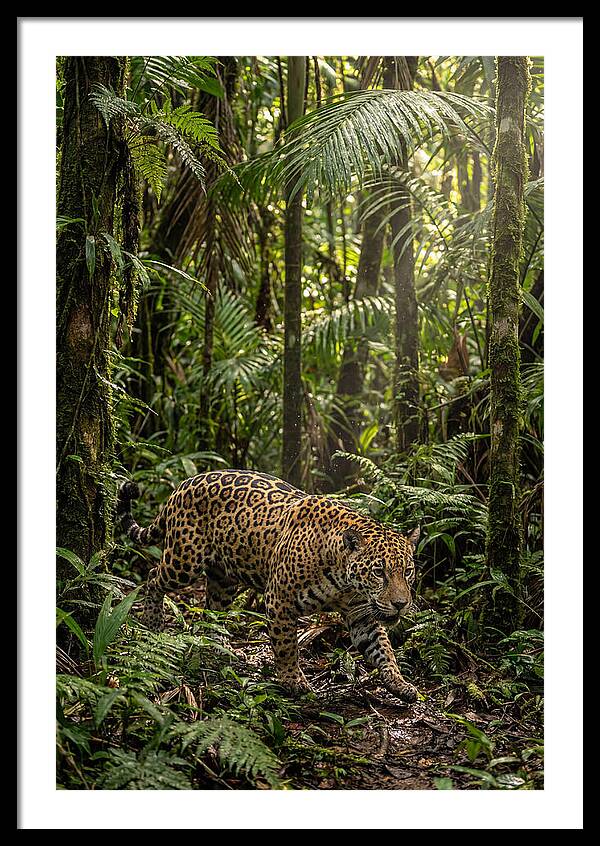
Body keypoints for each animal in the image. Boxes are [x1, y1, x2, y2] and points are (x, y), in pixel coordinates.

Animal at [117, 469, 421, 703]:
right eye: (379, 572)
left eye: (407, 572)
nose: (401, 604)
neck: (343, 579)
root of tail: (183, 484)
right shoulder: (280, 601)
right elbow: (286, 646)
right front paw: (293, 682)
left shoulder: (361, 615)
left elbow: (383, 649)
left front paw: (400, 684)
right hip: (183, 561)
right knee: (153, 577)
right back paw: (153, 621)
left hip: (223, 579)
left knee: (212, 608)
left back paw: (218, 645)